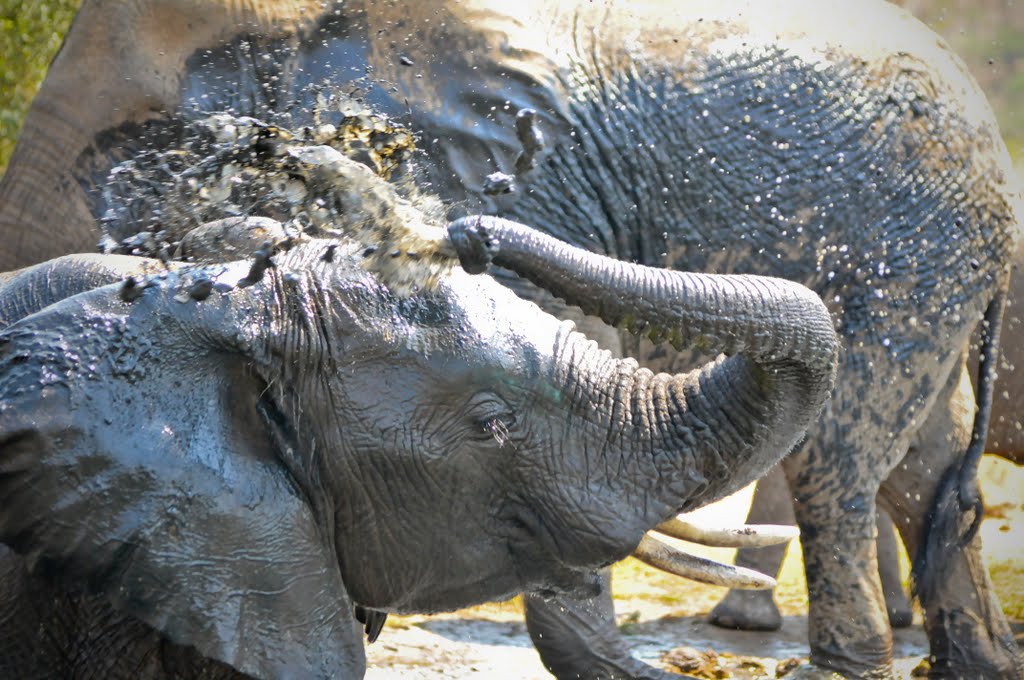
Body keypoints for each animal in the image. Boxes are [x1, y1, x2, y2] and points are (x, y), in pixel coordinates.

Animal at [0, 1, 1019, 680]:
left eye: (142, 138)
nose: (454, 232)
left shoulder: (532, 177)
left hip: (912, 248)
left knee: (840, 461)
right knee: (919, 468)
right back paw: (973, 658)